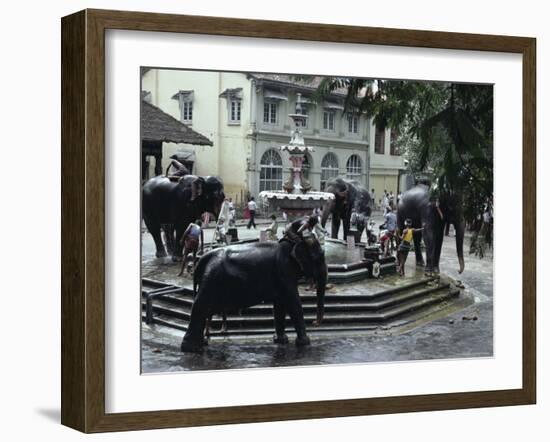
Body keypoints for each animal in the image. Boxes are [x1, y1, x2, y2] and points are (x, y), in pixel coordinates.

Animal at [181, 237, 328, 354]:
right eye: (320, 257)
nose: (314, 323)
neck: (294, 243)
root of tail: (201, 260)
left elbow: (279, 305)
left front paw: (281, 341)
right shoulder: (284, 271)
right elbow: (293, 303)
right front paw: (305, 343)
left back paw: (201, 345)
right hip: (212, 279)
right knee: (200, 306)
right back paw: (193, 349)